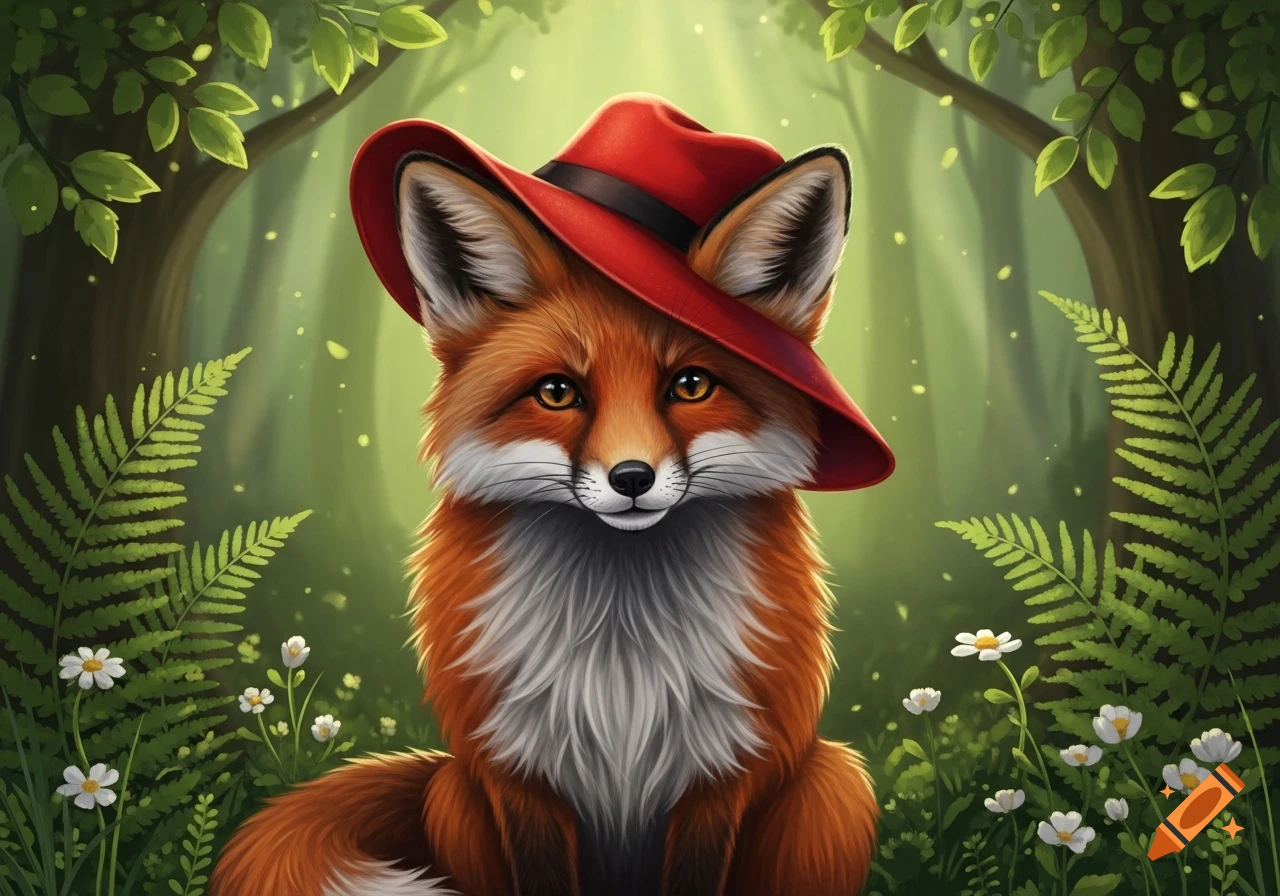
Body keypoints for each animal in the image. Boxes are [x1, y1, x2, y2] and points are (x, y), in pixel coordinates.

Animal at [211, 139, 879, 895]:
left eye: (690, 385)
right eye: (558, 392)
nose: (631, 479)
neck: (623, 653)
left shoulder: (722, 778)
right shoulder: (519, 777)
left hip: (836, 783)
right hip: (454, 793)